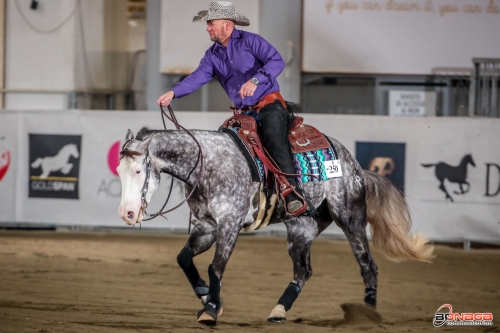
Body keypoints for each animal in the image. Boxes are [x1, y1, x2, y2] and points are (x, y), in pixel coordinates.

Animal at [117, 126, 434, 324]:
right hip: (301, 229)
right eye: (119, 171)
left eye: (138, 170)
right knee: (303, 271)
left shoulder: (230, 224)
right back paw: (279, 310)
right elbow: (184, 258)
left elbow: (216, 267)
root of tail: (356, 167)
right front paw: (206, 295)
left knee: (368, 266)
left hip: (350, 218)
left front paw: (211, 310)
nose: (127, 214)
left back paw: (368, 316)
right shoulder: (206, 226)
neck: (210, 166)